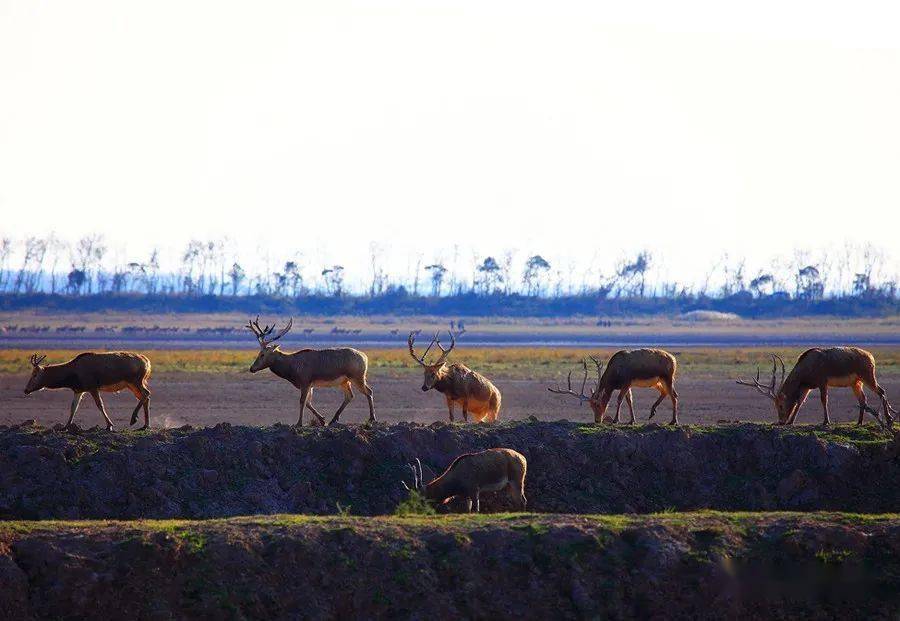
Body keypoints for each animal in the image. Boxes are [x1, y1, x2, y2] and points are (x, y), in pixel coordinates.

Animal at [22, 352, 152, 428]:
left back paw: (134, 419)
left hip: (136, 381)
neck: (74, 372)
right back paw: (145, 425)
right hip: (132, 385)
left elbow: (100, 405)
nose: (26, 390)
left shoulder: (93, 387)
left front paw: (109, 425)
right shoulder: (78, 390)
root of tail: (147, 362)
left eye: (34, 374)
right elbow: (73, 407)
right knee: (145, 396)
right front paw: (66, 426)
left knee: (146, 393)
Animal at [244, 314, 374, 426]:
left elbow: (302, 401)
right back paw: (333, 419)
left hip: (357, 377)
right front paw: (322, 420)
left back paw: (372, 418)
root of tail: (365, 357)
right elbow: (308, 402)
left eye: (262, 354)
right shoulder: (310, 385)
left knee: (369, 391)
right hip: (344, 381)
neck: (291, 368)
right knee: (350, 396)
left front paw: (299, 423)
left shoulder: (305, 381)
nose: (252, 368)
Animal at [544, 346, 680, 424]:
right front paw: (632, 420)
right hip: (657, 382)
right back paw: (652, 412)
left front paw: (616, 420)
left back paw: (673, 421)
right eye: (590, 406)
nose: (597, 420)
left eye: (598, 404)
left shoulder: (626, 382)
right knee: (665, 392)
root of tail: (673, 359)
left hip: (668, 378)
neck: (615, 374)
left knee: (674, 395)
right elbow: (629, 400)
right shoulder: (628, 385)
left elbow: (620, 399)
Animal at [736, 346, 896, 428]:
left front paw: (826, 421)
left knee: (881, 391)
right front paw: (791, 421)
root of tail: (872, 357)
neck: (806, 369)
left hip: (867, 376)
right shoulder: (806, 386)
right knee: (863, 399)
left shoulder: (822, 381)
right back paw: (859, 422)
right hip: (856, 382)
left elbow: (823, 400)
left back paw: (888, 419)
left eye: (780, 405)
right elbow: (799, 402)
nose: (780, 421)